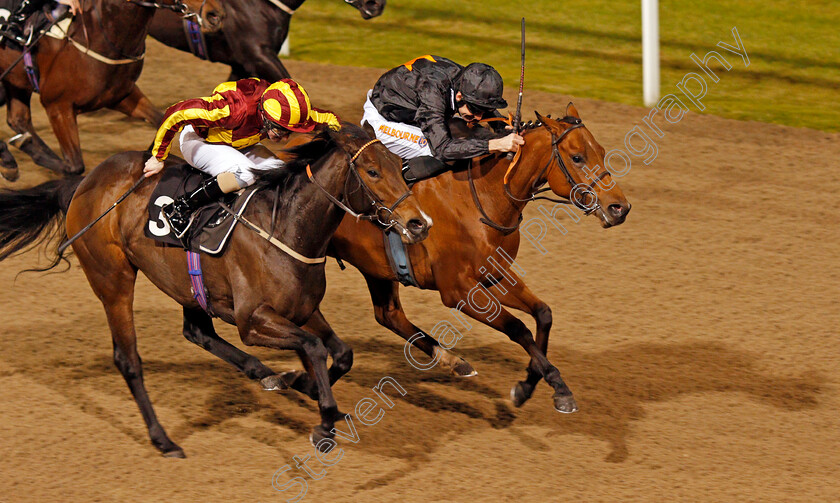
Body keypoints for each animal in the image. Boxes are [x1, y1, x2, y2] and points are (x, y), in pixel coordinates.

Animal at [0, 0, 225, 181]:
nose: (215, 14)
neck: (99, 37)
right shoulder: (57, 105)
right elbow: (74, 166)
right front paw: (23, 150)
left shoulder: (121, 95)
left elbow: (160, 120)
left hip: (15, 82)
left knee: (18, 119)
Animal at [0, 124, 430, 458]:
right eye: (372, 171)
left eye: (401, 167)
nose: (419, 223)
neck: (285, 226)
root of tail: (87, 180)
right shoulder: (252, 321)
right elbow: (313, 348)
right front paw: (322, 421)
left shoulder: (302, 309)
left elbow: (340, 353)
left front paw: (302, 385)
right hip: (113, 279)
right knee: (129, 359)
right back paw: (164, 439)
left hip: (185, 285)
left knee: (197, 332)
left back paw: (265, 373)